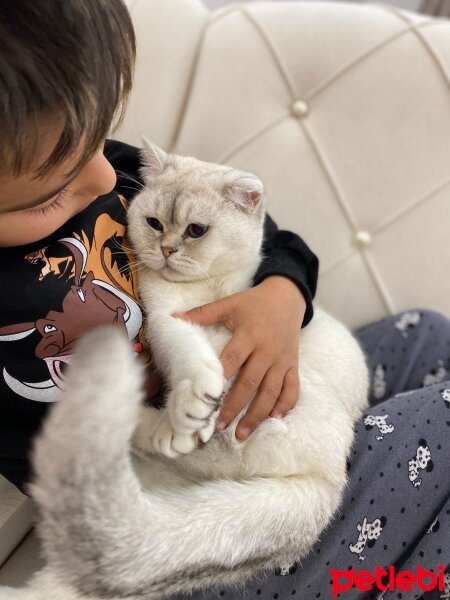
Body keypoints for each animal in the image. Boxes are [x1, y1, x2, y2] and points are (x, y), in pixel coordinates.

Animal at [0, 145, 370, 600]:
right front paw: (191, 401)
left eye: (196, 230)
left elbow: (196, 363)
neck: (207, 291)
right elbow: (188, 351)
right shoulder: (167, 320)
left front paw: (189, 406)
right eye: (154, 223)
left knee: (213, 449)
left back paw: (155, 423)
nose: (167, 249)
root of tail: (329, 480)